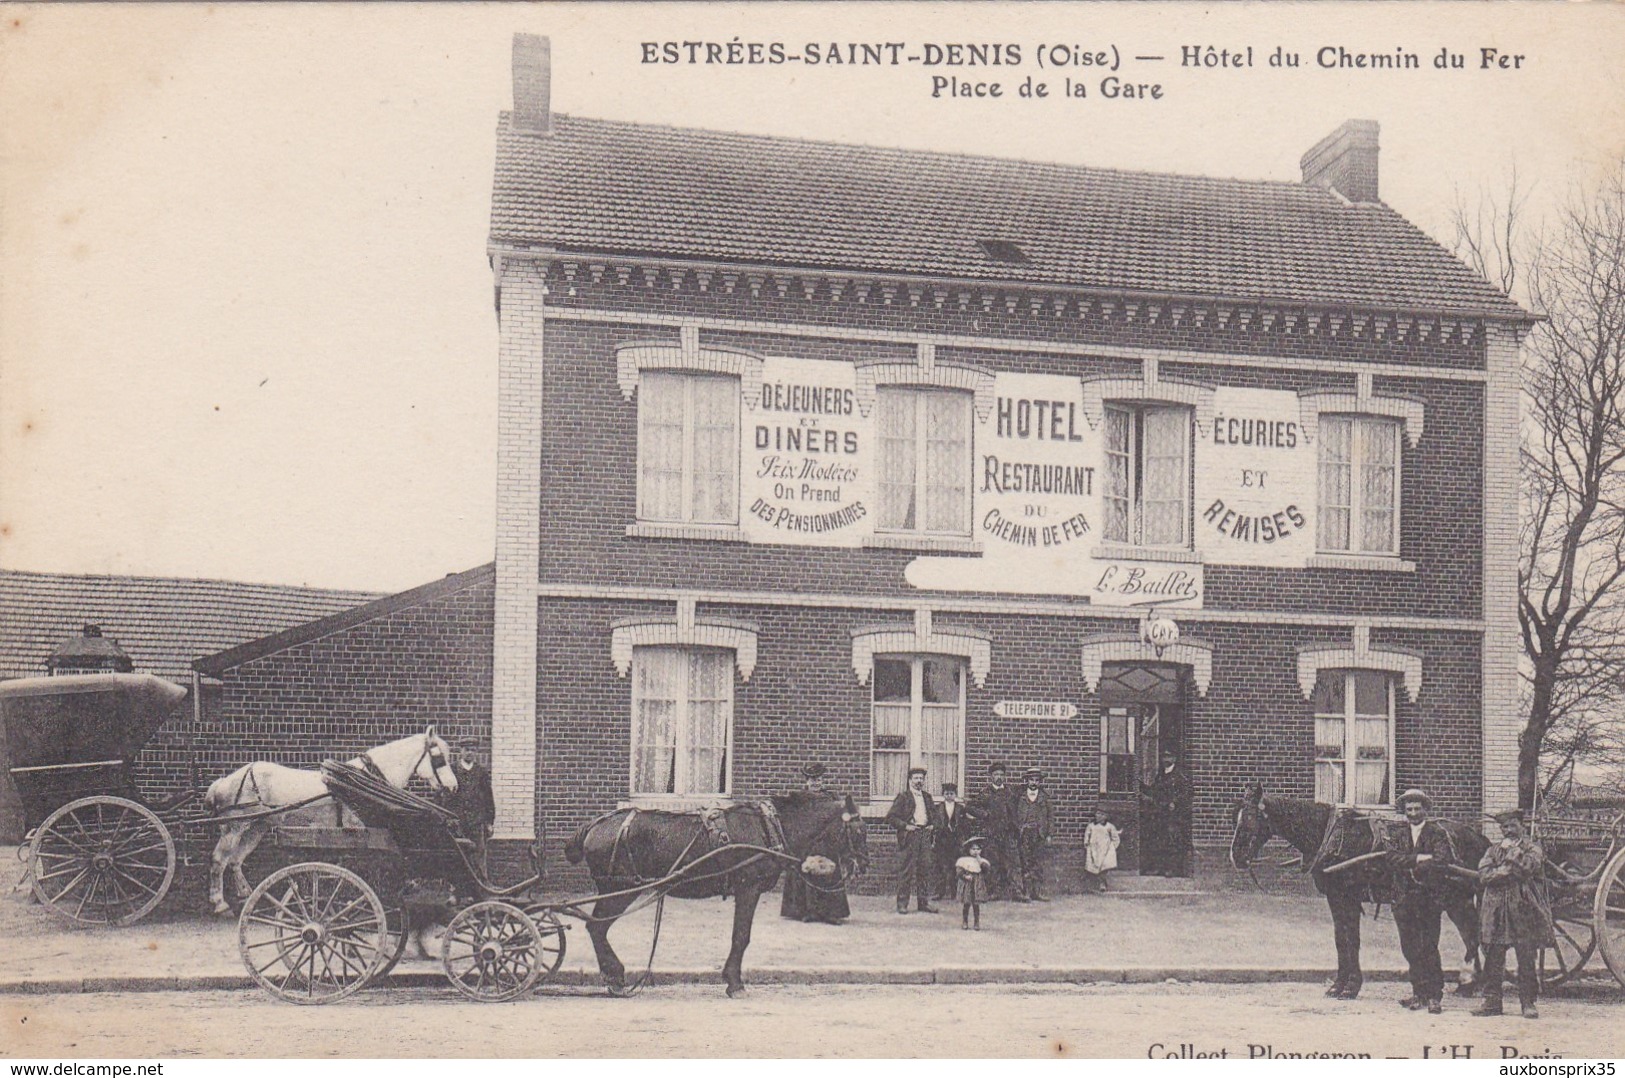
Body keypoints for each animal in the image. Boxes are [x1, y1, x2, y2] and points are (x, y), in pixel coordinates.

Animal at [204, 728, 458, 917]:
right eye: (439, 757)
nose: (453, 787)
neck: (360, 780)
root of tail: (225, 780)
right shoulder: (357, 831)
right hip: (234, 827)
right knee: (219, 860)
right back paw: (220, 903)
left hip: (256, 827)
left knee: (236, 860)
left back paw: (246, 894)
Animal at [562, 790, 871, 1001]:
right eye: (859, 830)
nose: (863, 865)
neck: (767, 828)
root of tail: (594, 825)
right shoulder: (748, 888)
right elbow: (741, 937)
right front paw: (735, 983)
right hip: (619, 890)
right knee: (597, 927)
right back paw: (615, 976)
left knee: (596, 928)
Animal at [1228, 783, 1488, 1001]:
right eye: (1237, 817)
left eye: (1250, 818)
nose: (1236, 856)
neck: (1330, 835)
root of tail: (1478, 836)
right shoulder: (1335, 898)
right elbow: (1341, 940)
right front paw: (1338, 985)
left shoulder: (1347, 897)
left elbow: (1351, 940)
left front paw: (1350, 987)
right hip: (1457, 900)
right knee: (1469, 934)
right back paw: (1469, 985)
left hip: (1457, 898)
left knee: (1471, 934)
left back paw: (1471, 984)